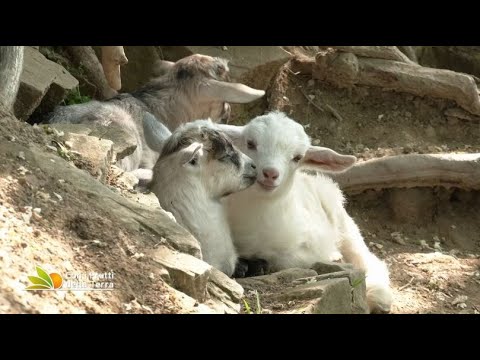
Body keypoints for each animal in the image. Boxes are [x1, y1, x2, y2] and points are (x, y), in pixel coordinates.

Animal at [216, 112, 392, 312]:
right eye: (250, 143)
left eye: (298, 157)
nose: (270, 173)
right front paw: (246, 267)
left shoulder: (308, 247)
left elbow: (289, 260)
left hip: (343, 222)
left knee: (366, 258)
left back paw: (378, 294)